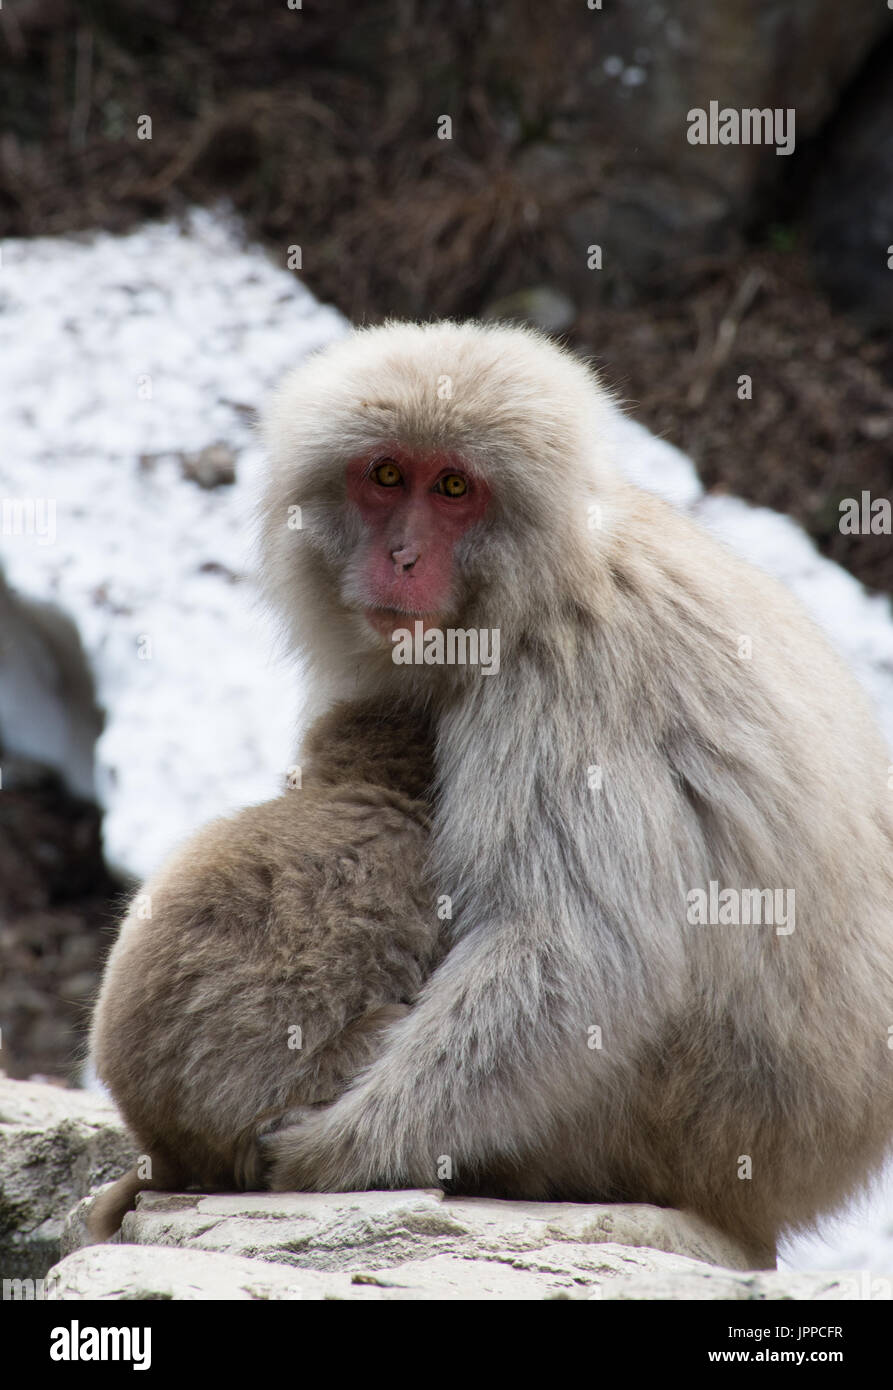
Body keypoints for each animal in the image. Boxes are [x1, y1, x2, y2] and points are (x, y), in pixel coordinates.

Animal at [254, 318, 893, 1267]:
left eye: (454, 488)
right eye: (385, 476)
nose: (400, 557)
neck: (536, 588)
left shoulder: (563, 683)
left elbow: (577, 951)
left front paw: (336, 1148)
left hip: (680, 1121)